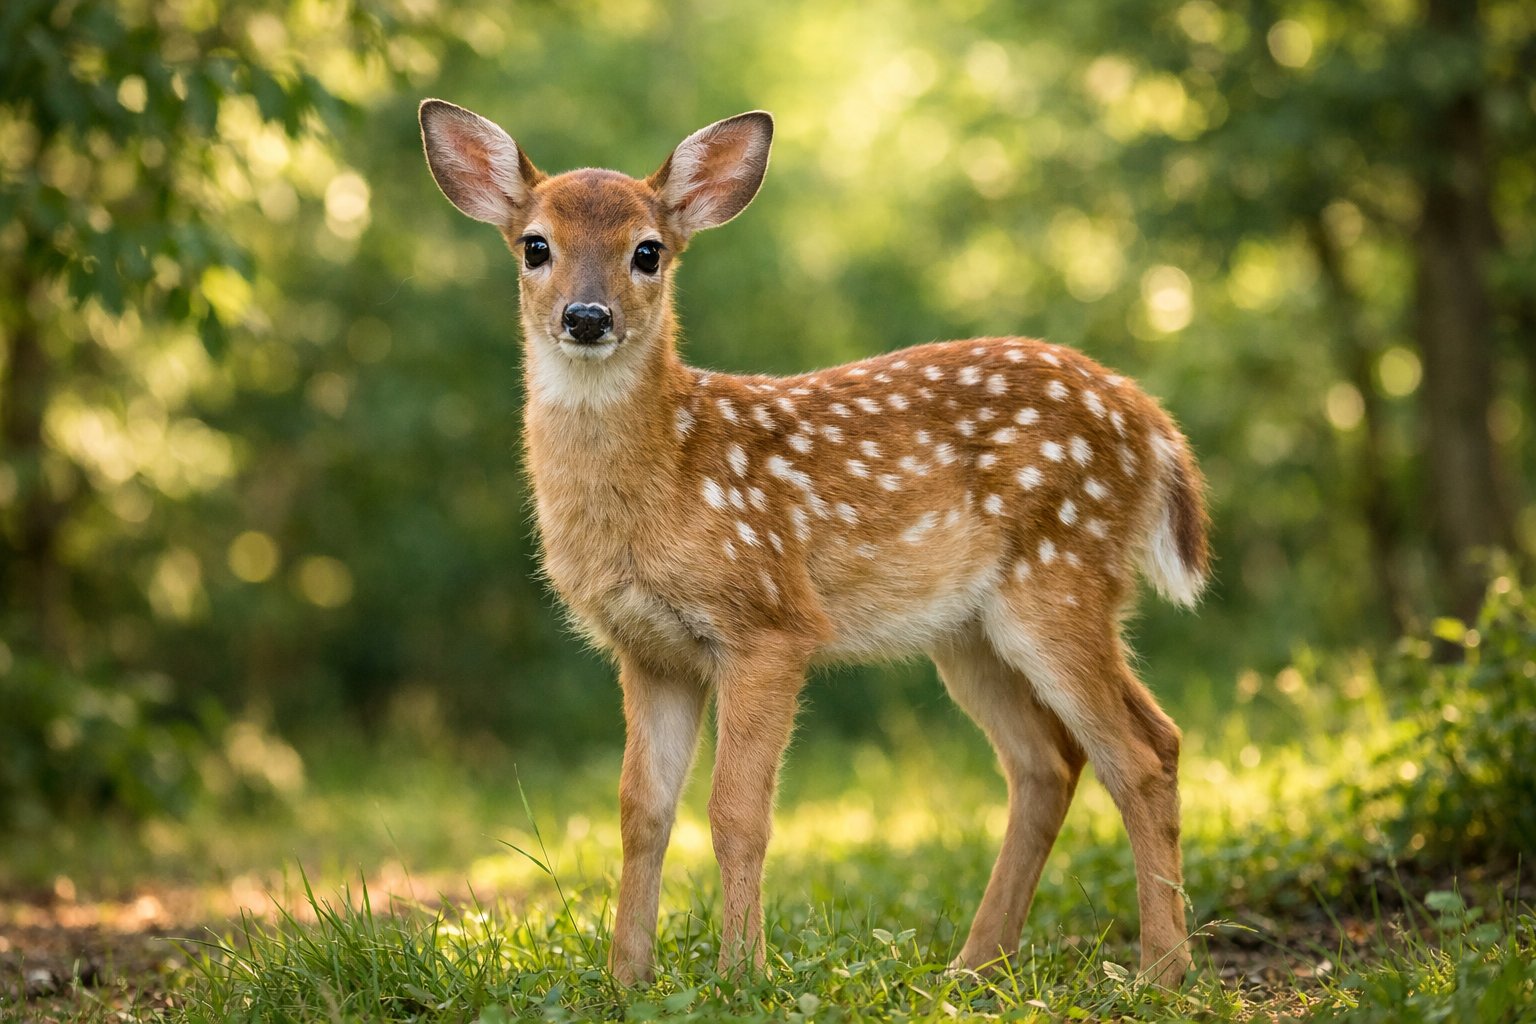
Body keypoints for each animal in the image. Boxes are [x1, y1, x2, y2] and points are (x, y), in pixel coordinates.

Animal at [418, 99, 1210, 989]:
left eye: (648, 251)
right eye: (535, 245)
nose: (587, 318)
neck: (668, 476)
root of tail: (1151, 421)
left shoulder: (768, 620)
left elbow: (737, 812)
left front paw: (741, 974)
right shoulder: (650, 649)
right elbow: (640, 811)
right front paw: (627, 978)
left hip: (1063, 574)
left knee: (1144, 749)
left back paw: (1161, 970)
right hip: (970, 631)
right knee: (1048, 762)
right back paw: (971, 966)